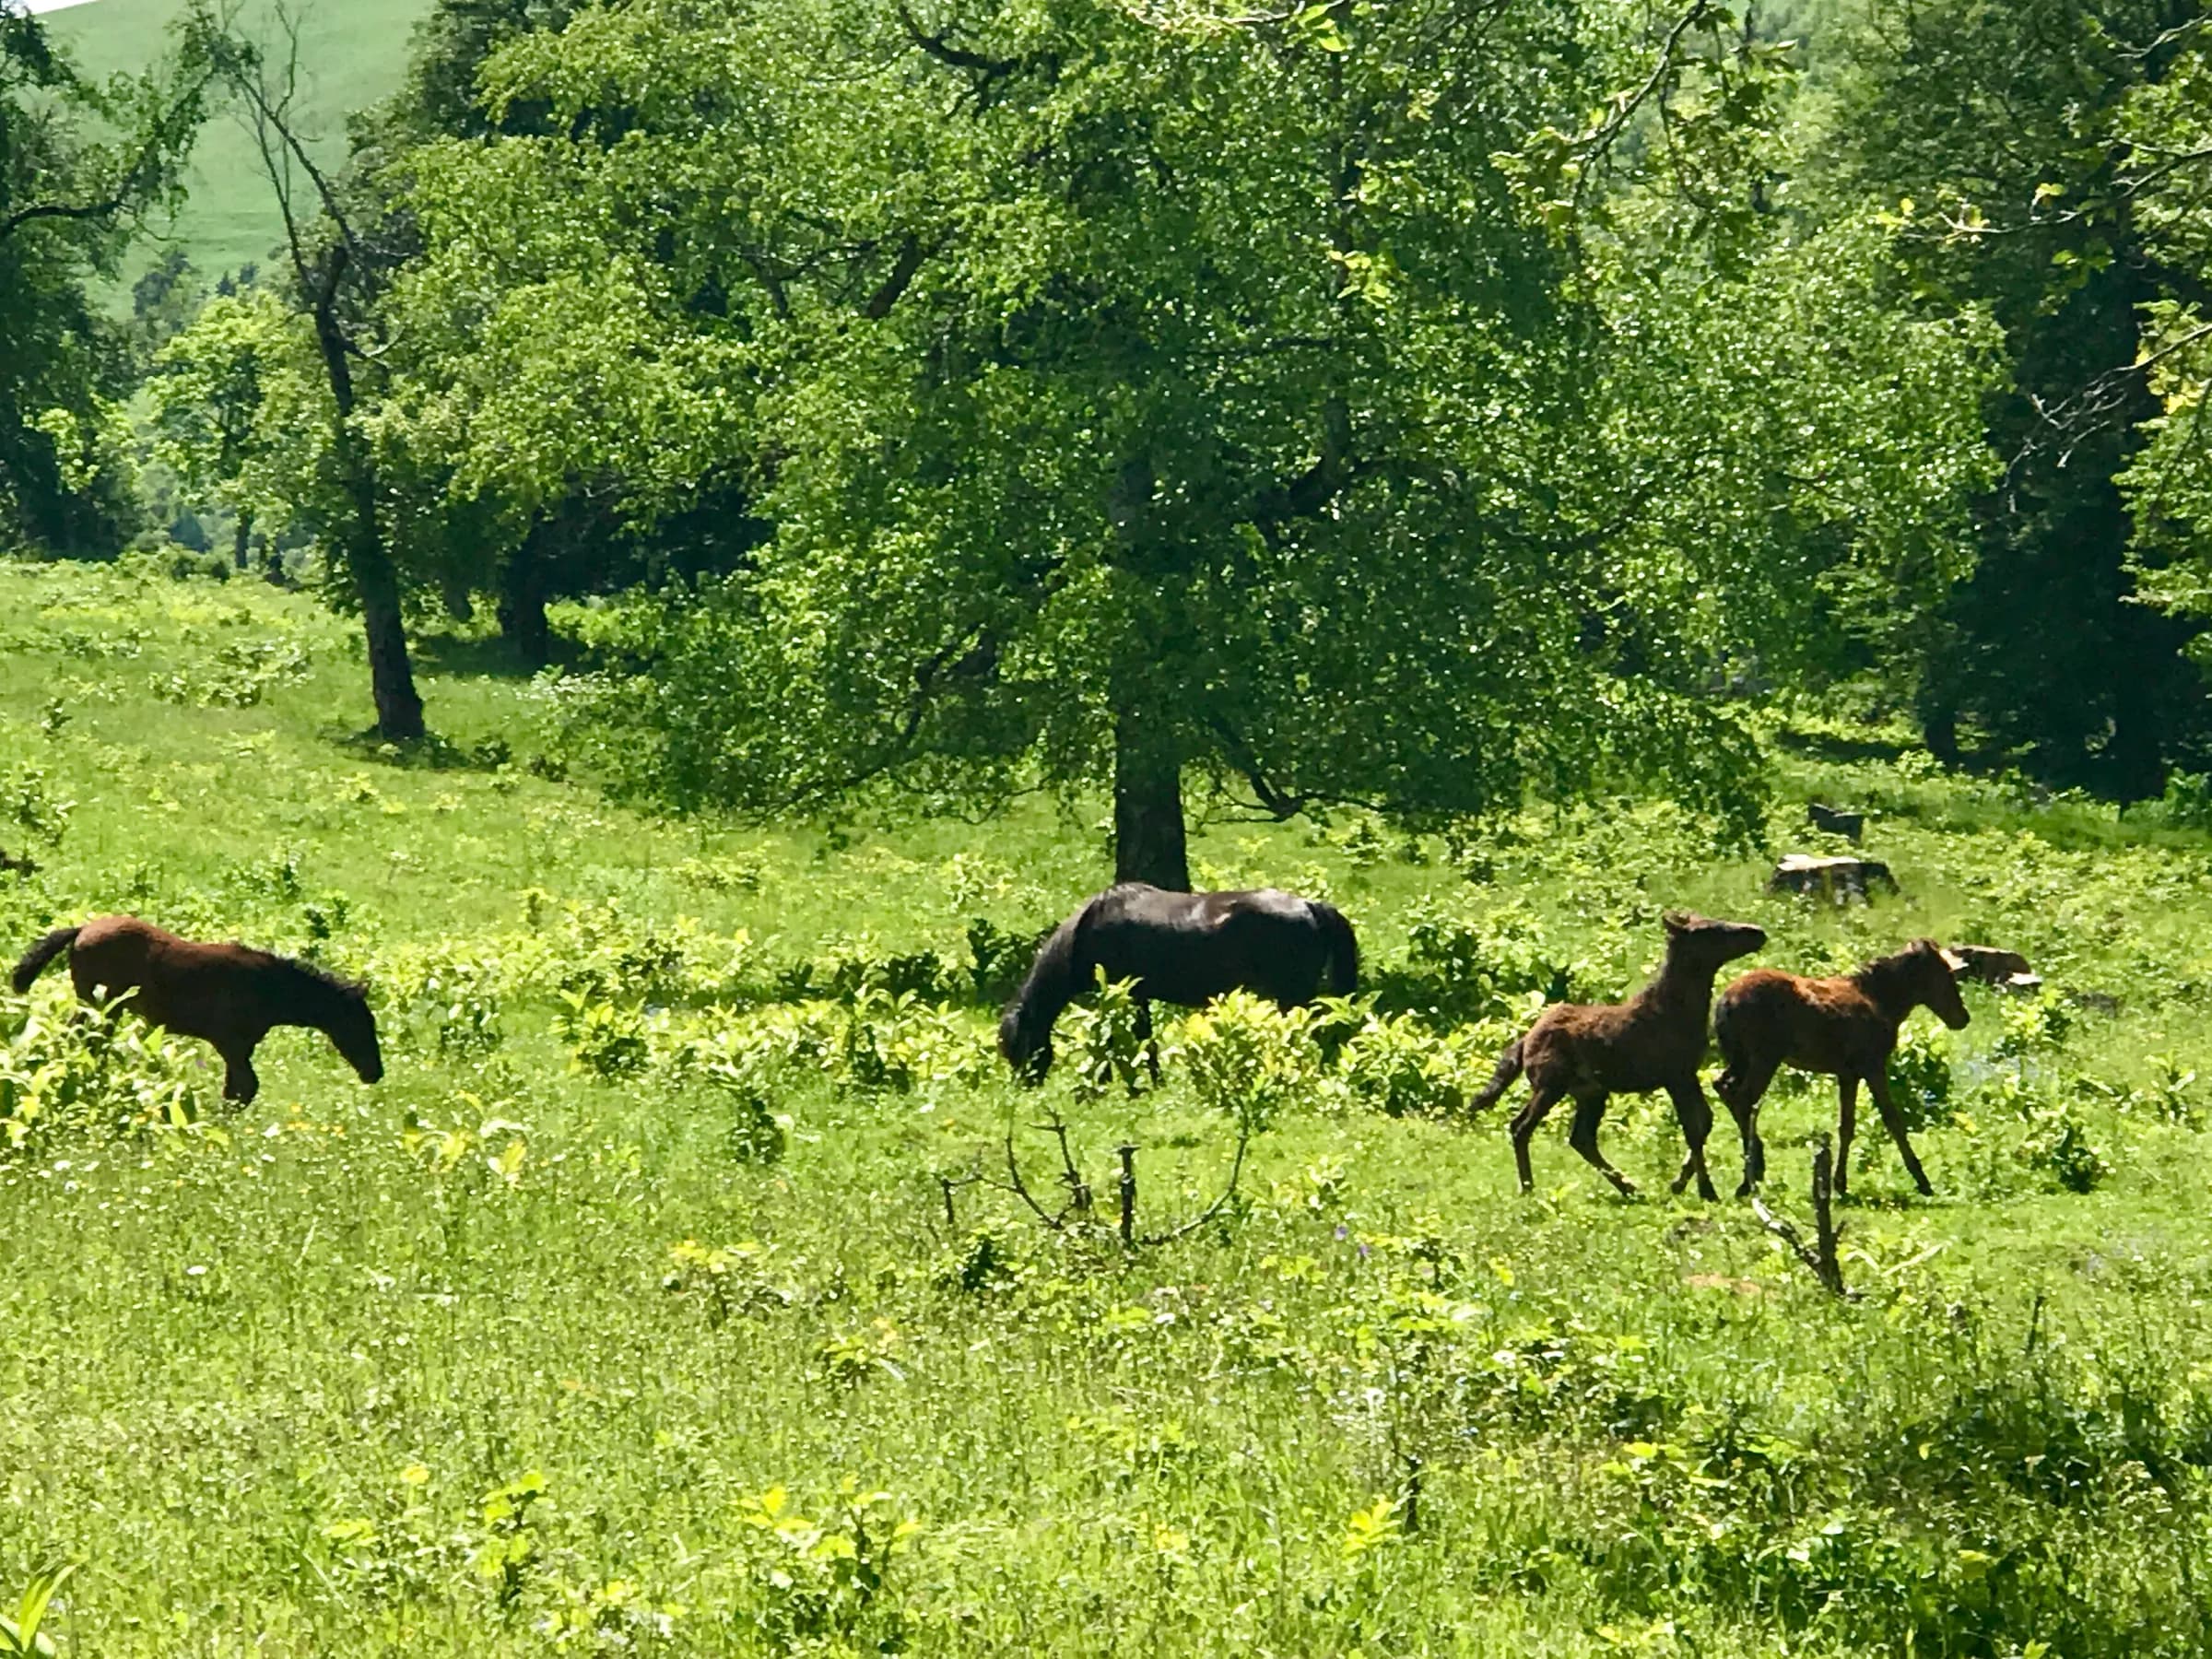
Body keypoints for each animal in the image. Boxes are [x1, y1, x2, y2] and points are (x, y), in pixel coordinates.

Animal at [10, 915, 384, 1106]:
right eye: (361, 1025)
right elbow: (245, 1088)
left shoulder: (239, 1048)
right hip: (101, 1006)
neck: (267, 987)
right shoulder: (230, 1043)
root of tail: (82, 929)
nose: (375, 1073)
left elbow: (236, 1090)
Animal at [996, 883, 1359, 1082]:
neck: (1088, 931)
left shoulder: (1124, 993)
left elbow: (1125, 1037)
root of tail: (1309, 905)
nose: (1024, 1086)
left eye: (1017, 1048)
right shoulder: (1137, 996)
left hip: (1292, 995)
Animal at [1469, 912, 1768, 1201]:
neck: (1682, 1010)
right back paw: (1529, 1188)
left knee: (1581, 1138)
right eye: (1708, 930)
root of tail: (1524, 1042)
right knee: (1521, 1127)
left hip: (1590, 1092)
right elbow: (1693, 1128)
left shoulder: (1687, 1074)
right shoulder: (1674, 1075)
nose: (1758, 933)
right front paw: (1706, 1190)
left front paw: (1681, 1183)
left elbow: (1704, 1123)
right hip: (1550, 1085)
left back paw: (1631, 1189)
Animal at [1711, 939, 1969, 1198]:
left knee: (1724, 1089)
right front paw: (1922, 1180)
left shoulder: (1848, 1074)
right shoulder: (1873, 1066)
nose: (1963, 1018)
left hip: (1740, 1059)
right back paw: (1750, 1178)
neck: (1880, 1000)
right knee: (1743, 1099)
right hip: (1764, 1059)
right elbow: (1892, 1119)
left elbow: (1847, 1125)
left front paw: (1840, 1183)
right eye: (1945, 973)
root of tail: (1725, 1002)